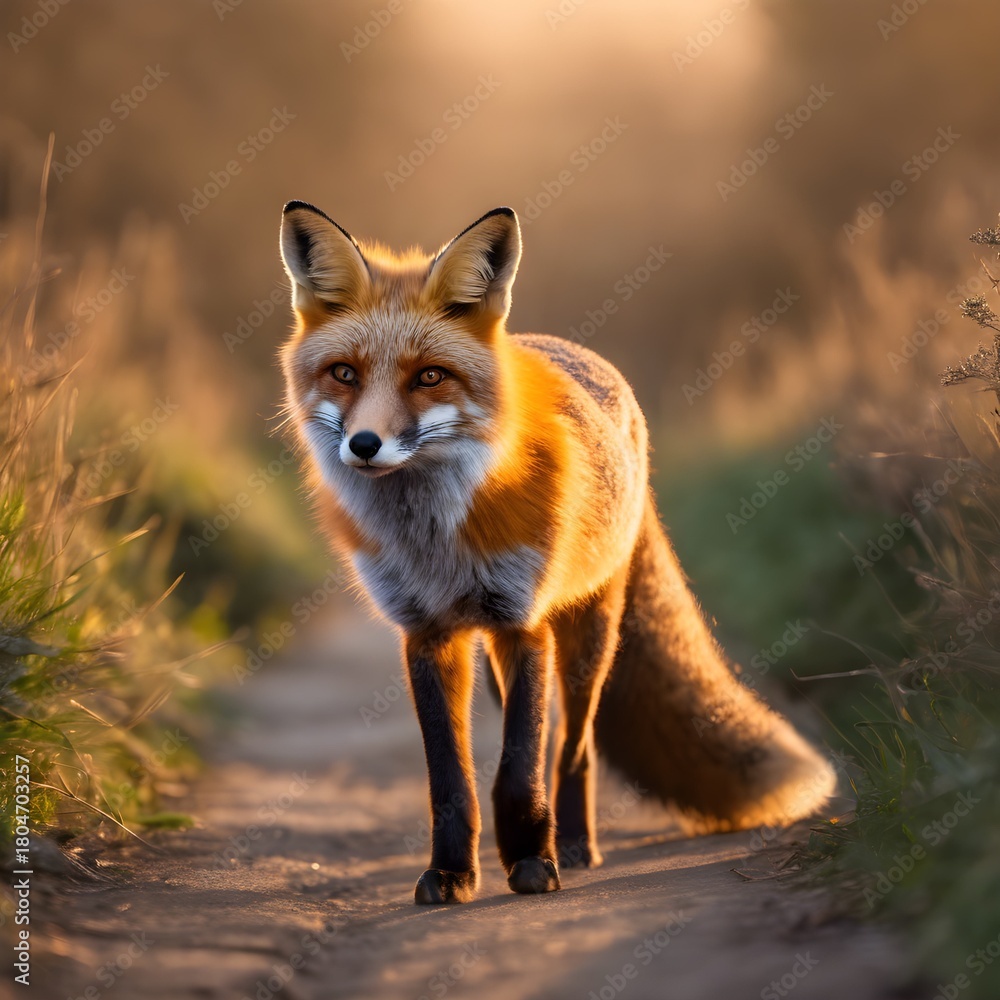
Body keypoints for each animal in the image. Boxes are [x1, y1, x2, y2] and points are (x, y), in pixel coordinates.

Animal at [278, 201, 836, 904]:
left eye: (429, 376)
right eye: (344, 374)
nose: (365, 444)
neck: (436, 539)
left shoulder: (523, 623)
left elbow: (520, 769)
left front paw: (532, 861)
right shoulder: (427, 633)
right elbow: (451, 779)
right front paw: (452, 871)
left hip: (586, 633)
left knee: (575, 744)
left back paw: (571, 842)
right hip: (498, 658)